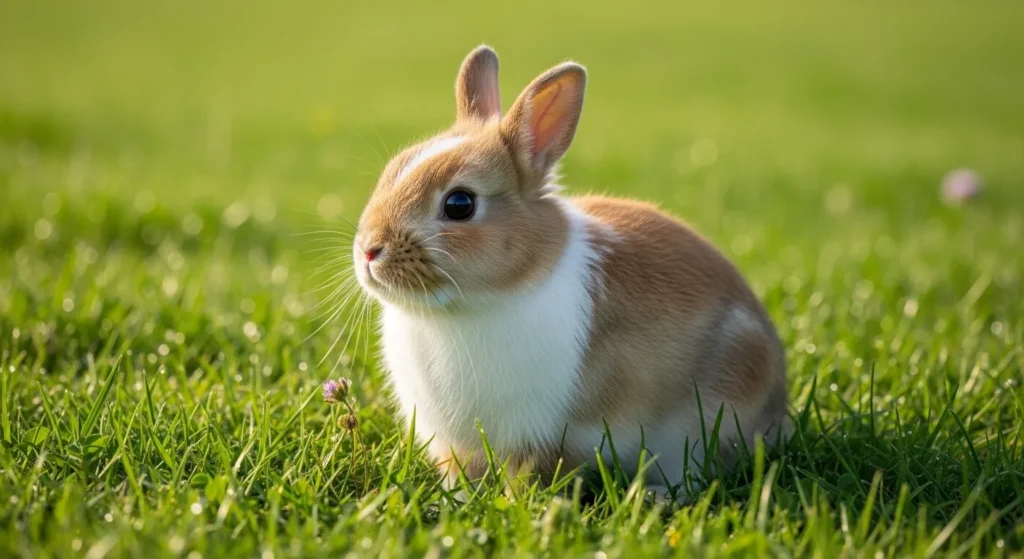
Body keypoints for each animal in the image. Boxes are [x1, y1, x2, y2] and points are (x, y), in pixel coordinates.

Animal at [352, 45, 788, 500]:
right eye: (393, 169)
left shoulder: (554, 437)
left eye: (459, 204)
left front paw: (517, 503)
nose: (369, 250)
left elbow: (529, 476)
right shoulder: (453, 445)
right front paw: (454, 501)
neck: (460, 309)